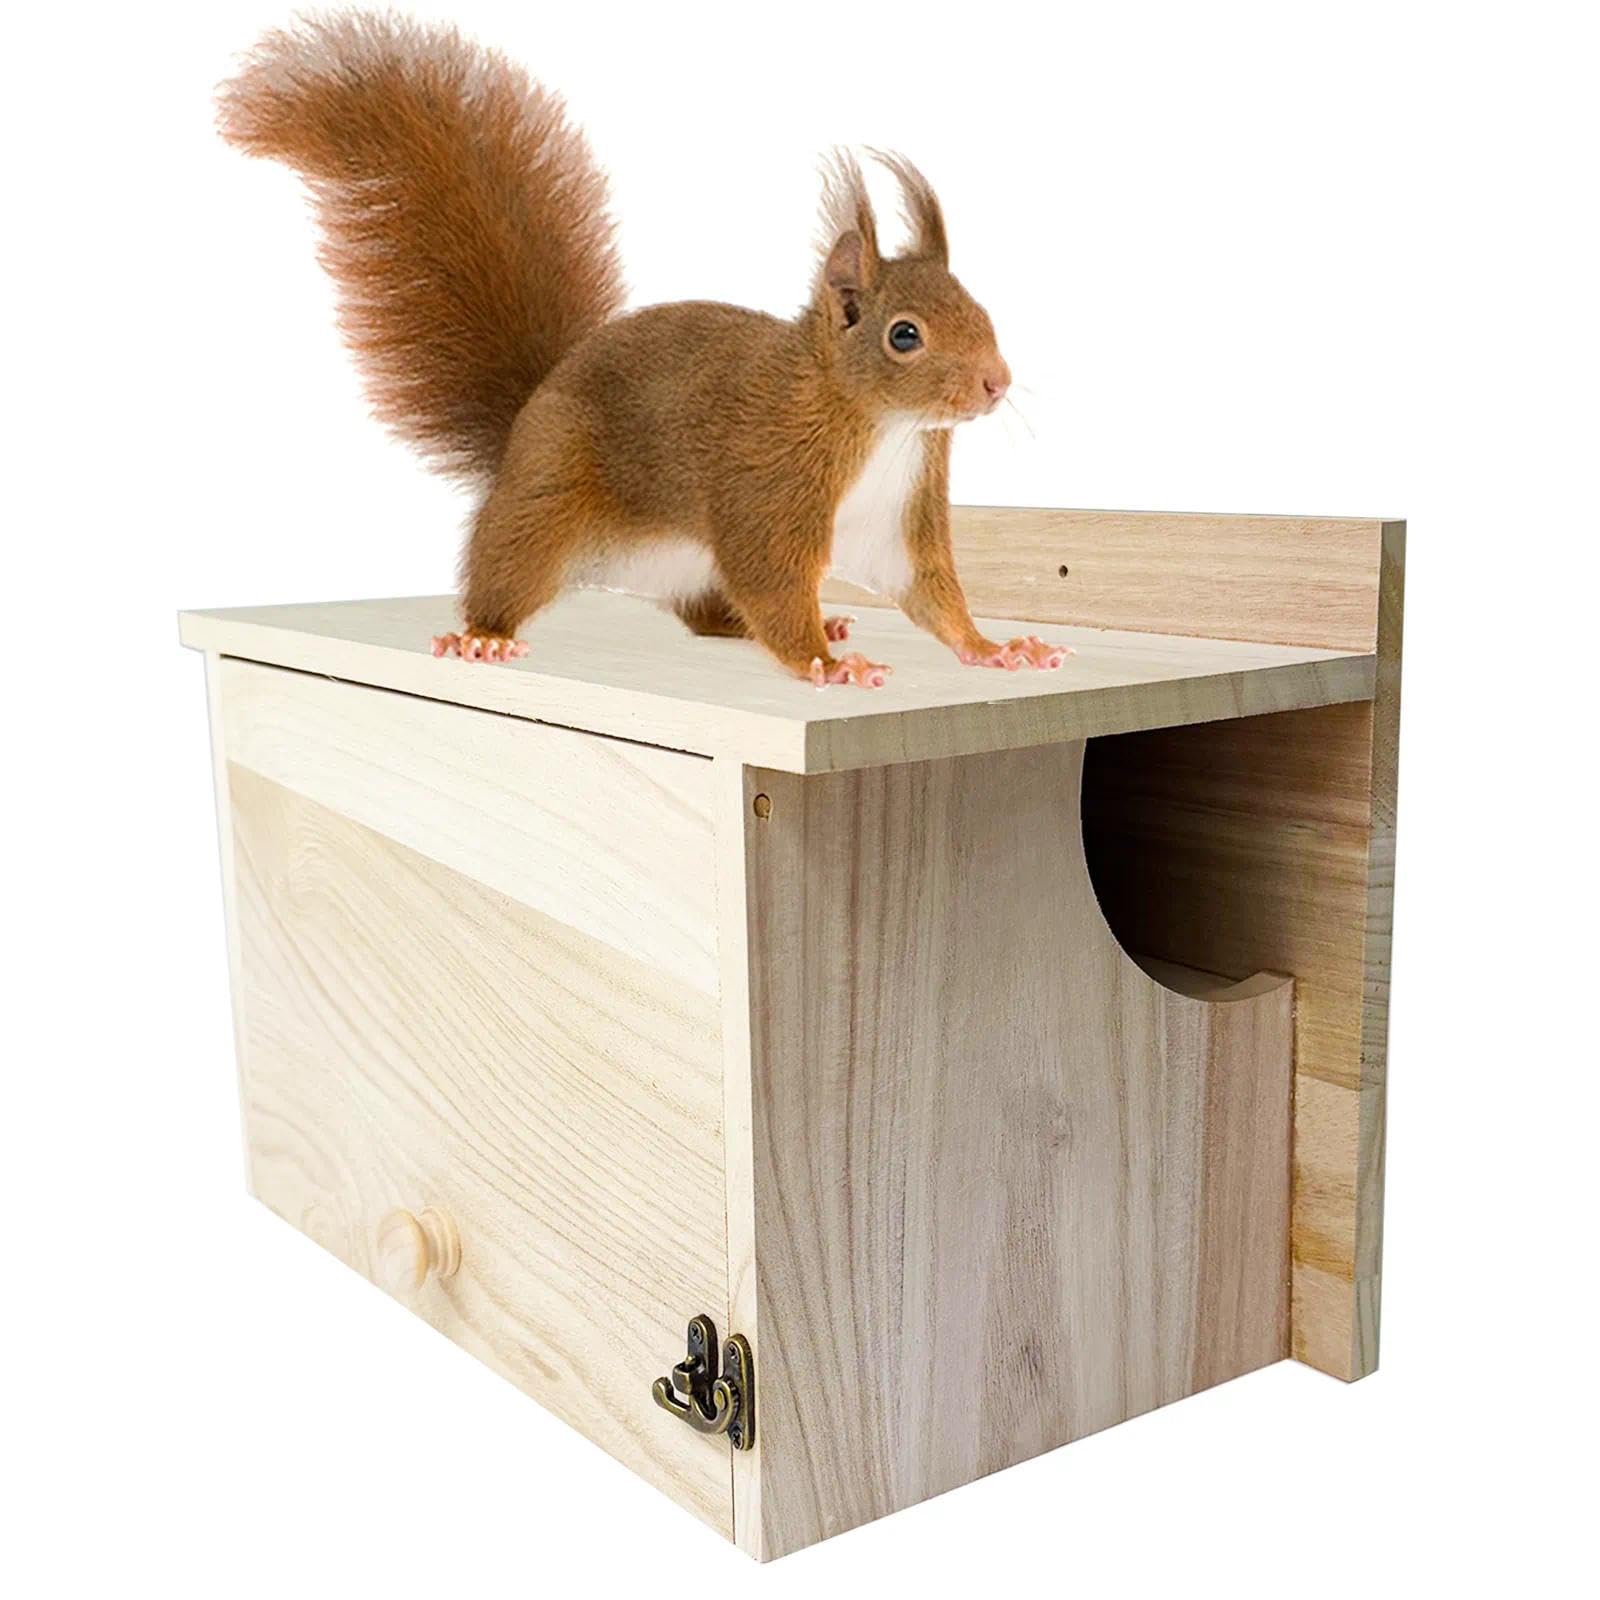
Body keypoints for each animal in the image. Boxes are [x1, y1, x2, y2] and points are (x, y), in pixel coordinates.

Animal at [217, 11, 1070, 687]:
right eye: (904, 336)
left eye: (981, 308)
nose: (997, 383)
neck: (880, 426)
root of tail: (526, 417)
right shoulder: (770, 483)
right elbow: (771, 579)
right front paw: (826, 666)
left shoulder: (900, 513)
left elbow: (928, 592)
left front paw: (996, 648)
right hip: (545, 503)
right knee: (506, 571)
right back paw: (484, 636)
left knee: (712, 616)